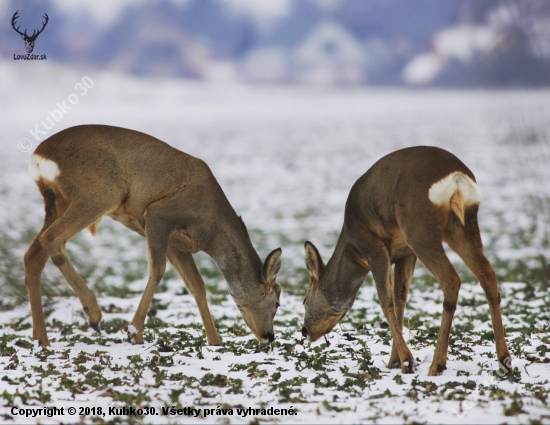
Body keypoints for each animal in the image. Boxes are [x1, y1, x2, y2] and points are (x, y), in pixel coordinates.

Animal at [23, 124, 282, 346]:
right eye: (277, 302)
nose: (269, 336)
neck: (212, 228)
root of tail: (38, 156)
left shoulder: (175, 242)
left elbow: (196, 283)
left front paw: (215, 341)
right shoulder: (158, 214)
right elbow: (157, 271)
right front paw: (134, 333)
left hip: (58, 202)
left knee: (32, 255)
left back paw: (41, 339)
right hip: (99, 194)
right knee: (51, 239)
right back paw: (93, 314)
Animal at [302, 146, 512, 374]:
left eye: (304, 300)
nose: (305, 331)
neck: (352, 248)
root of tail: (457, 178)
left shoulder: (374, 246)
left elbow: (386, 301)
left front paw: (407, 361)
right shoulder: (405, 253)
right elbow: (400, 298)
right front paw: (395, 361)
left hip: (419, 228)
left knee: (451, 279)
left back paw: (437, 365)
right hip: (463, 227)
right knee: (488, 275)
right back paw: (504, 360)